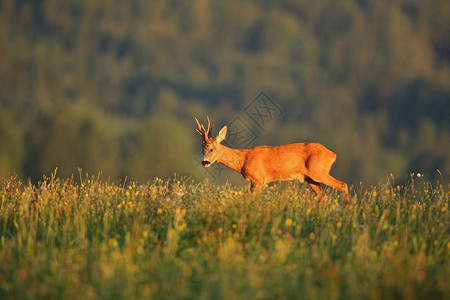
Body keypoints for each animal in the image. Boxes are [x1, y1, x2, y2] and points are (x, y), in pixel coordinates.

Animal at [195, 116, 350, 202]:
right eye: (202, 149)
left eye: (211, 149)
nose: (204, 162)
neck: (243, 160)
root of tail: (332, 154)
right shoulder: (253, 182)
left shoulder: (259, 179)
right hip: (309, 177)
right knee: (322, 194)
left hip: (318, 171)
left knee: (342, 185)